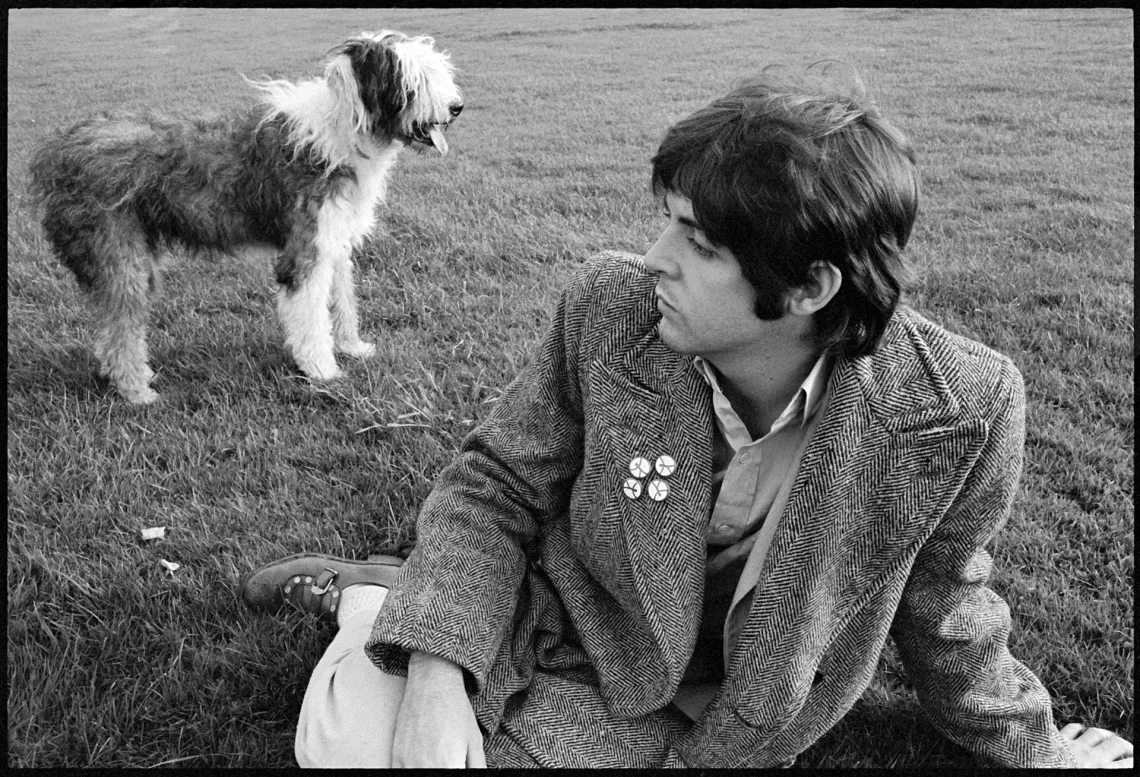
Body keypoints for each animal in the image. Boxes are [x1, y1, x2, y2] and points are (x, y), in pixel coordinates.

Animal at [28, 28, 460, 405]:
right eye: (415, 80)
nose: (457, 108)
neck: (346, 132)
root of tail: (56, 149)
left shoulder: (333, 240)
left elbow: (343, 302)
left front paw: (352, 347)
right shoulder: (306, 246)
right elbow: (311, 315)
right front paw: (323, 371)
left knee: (111, 327)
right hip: (119, 254)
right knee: (121, 328)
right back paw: (136, 391)